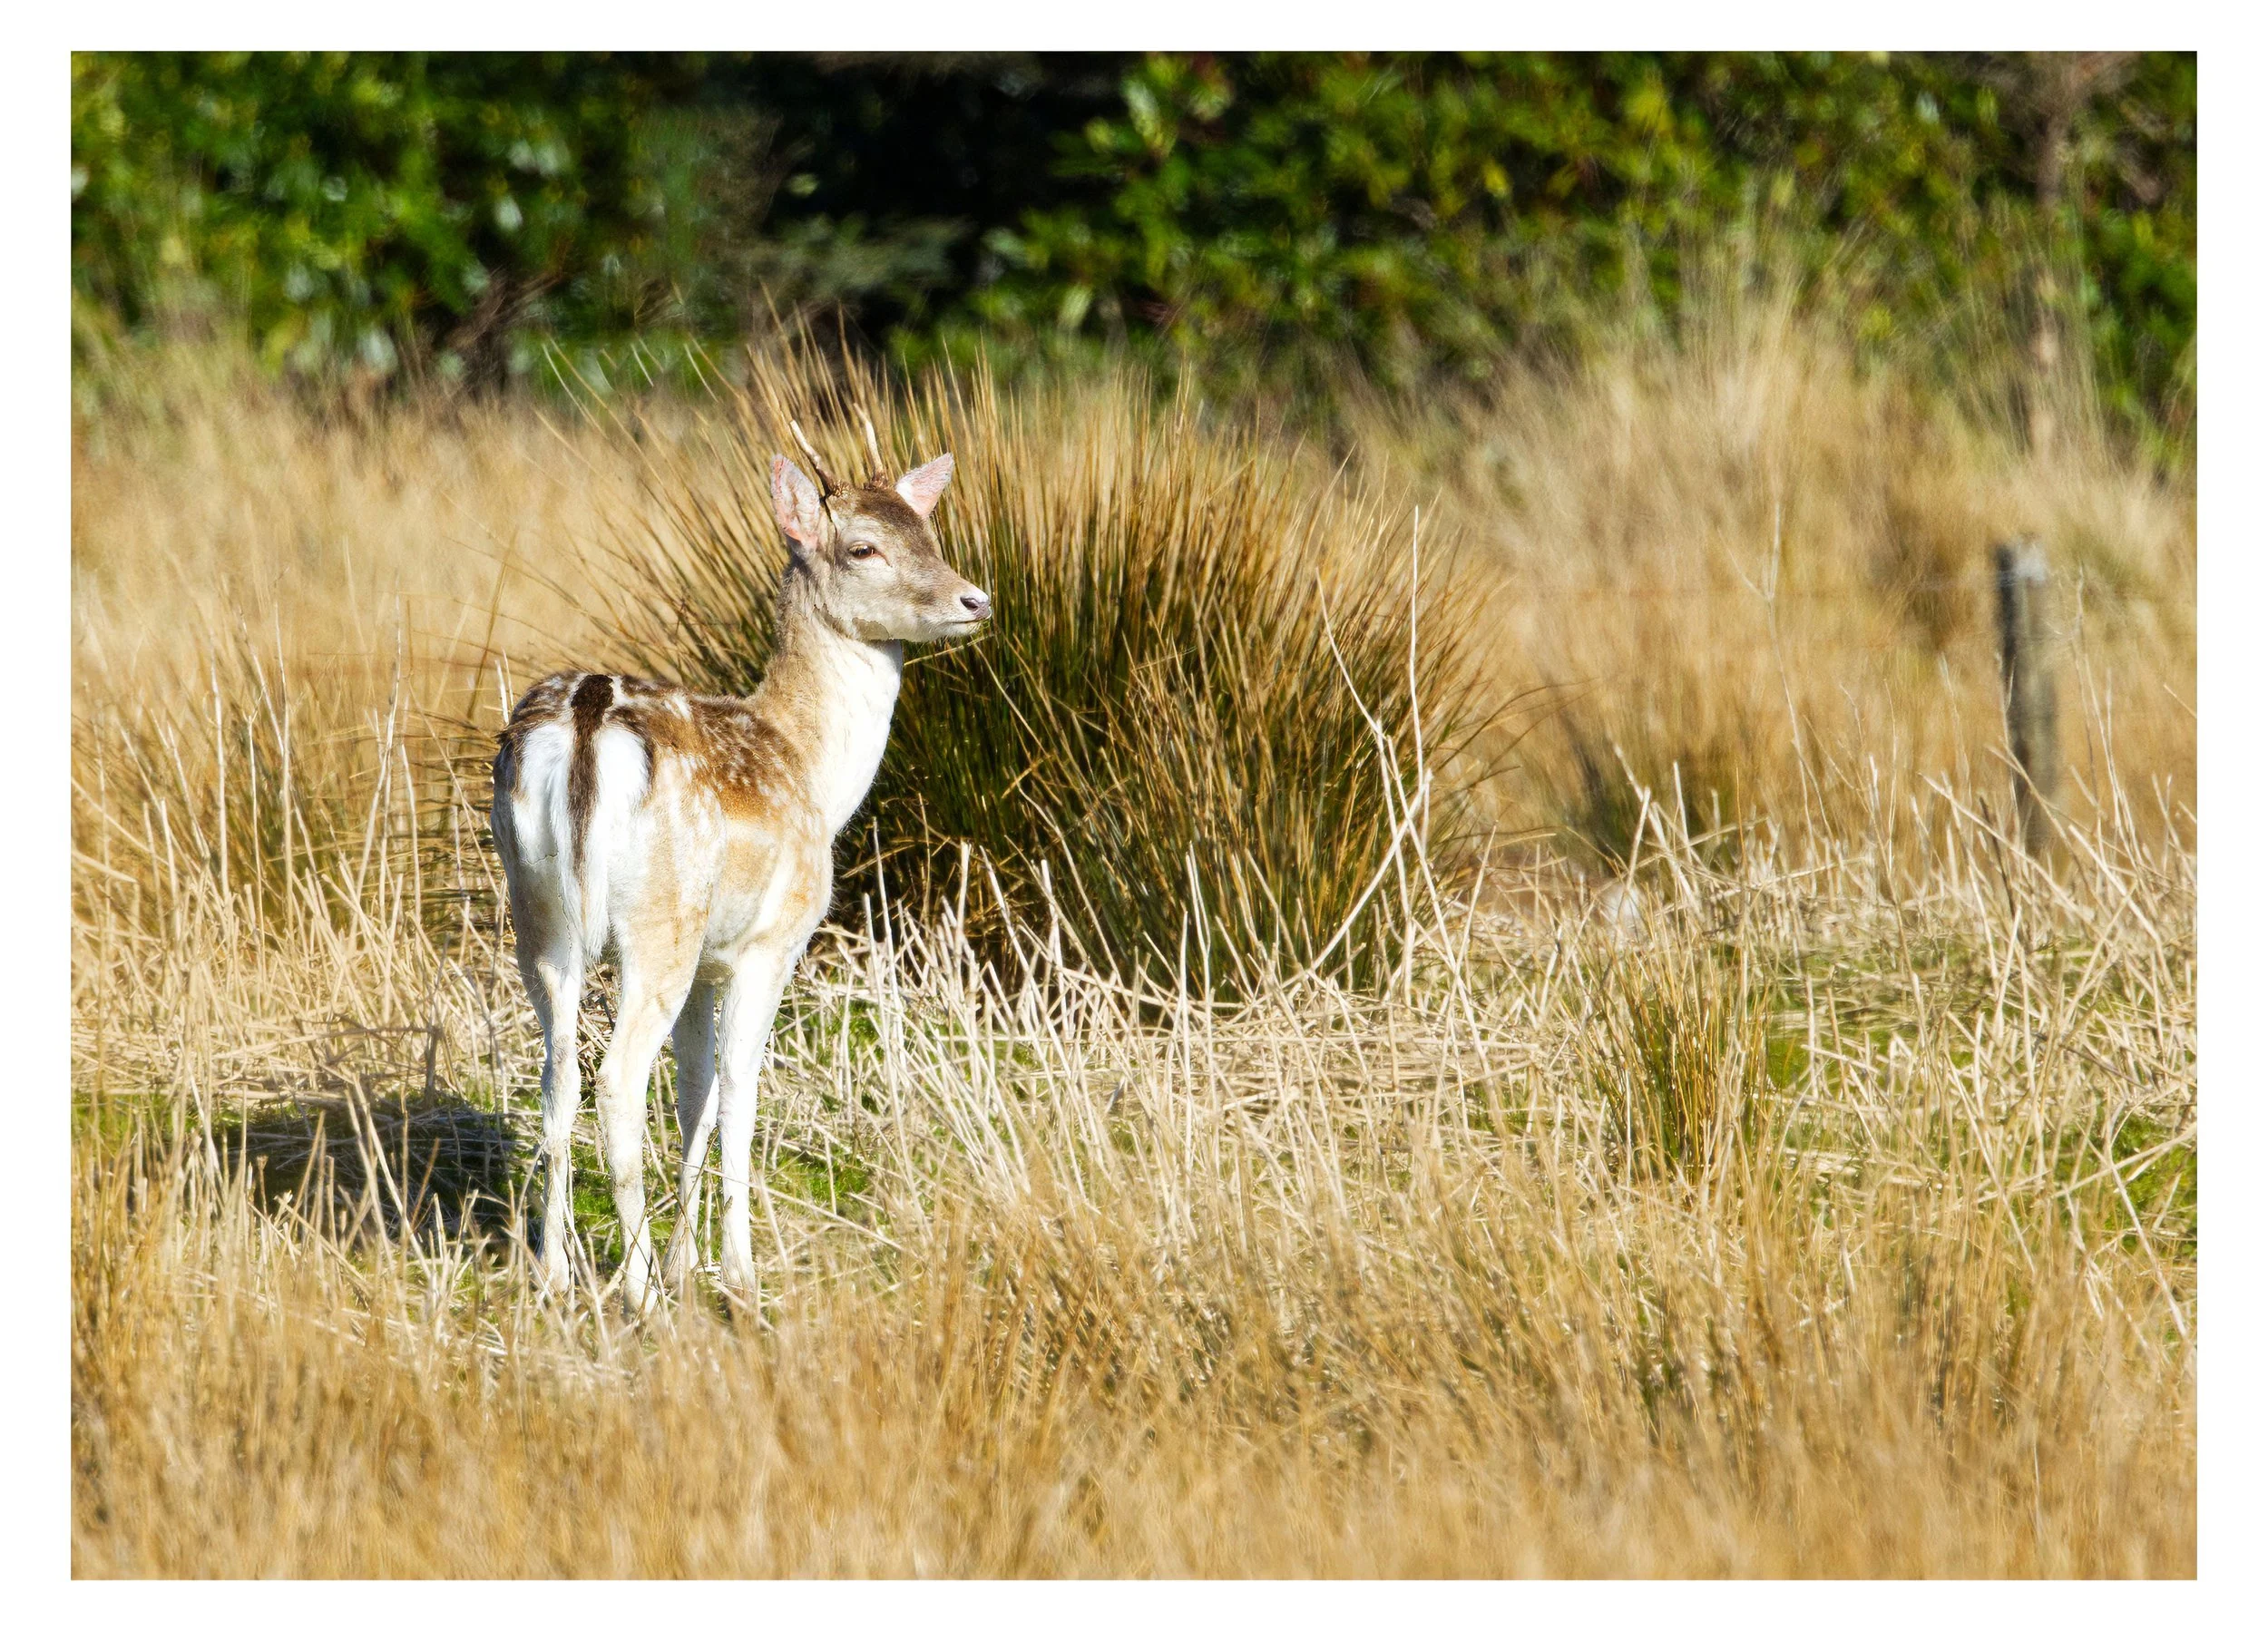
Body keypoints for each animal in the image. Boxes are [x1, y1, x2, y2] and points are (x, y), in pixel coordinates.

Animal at [490, 418, 990, 1312]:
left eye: (929, 535)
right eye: (863, 547)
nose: (976, 600)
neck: (813, 771)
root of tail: (584, 726)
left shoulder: (709, 964)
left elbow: (694, 1095)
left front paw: (689, 1261)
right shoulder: (770, 943)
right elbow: (738, 1098)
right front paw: (737, 1276)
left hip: (538, 917)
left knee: (555, 1079)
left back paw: (554, 1273)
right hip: (659, 923)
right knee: (616, 1082)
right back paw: (639, 1295)